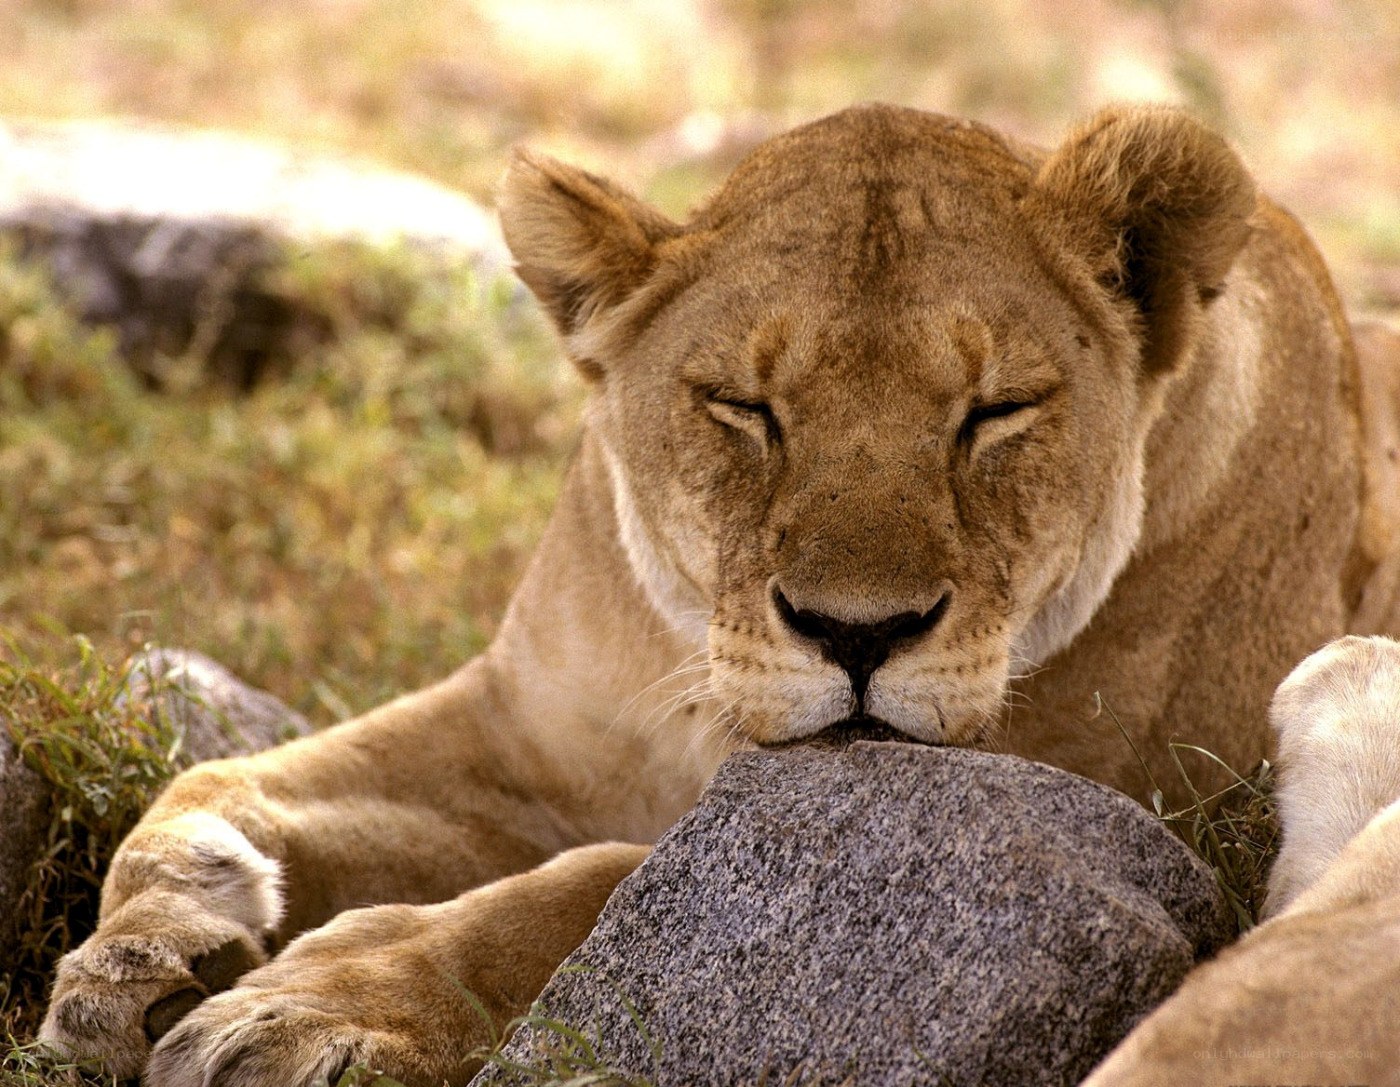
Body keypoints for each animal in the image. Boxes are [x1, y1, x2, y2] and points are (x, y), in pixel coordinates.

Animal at [37, 104, 1398, 1086]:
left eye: (995, 411)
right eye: (743, 408)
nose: (859, 633)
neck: (695, 682)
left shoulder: (1124, 816)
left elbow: (594, 884)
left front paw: (313, 1005)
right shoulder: (521, 732)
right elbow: (220, 782)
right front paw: (145, 948)